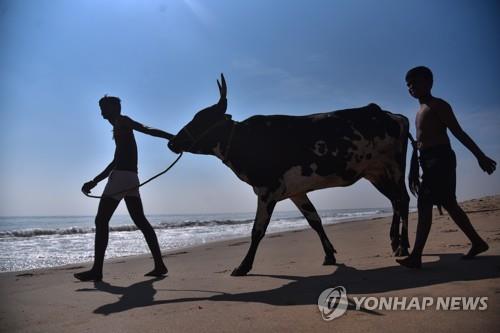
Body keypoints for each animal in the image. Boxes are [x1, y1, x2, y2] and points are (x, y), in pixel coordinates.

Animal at [168, 74, 410, 274]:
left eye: (202, 119)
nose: (172, 142)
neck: (244, 140)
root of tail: (389, 113)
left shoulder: (267, 190)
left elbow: (258, 230)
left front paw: (243, 266)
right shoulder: (295, 191)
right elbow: (314, 220)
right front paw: (329, 255)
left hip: (395, 166)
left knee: (403, 200)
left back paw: (404, 246)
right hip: (376, 173)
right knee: (395, 201)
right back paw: (395, 242)